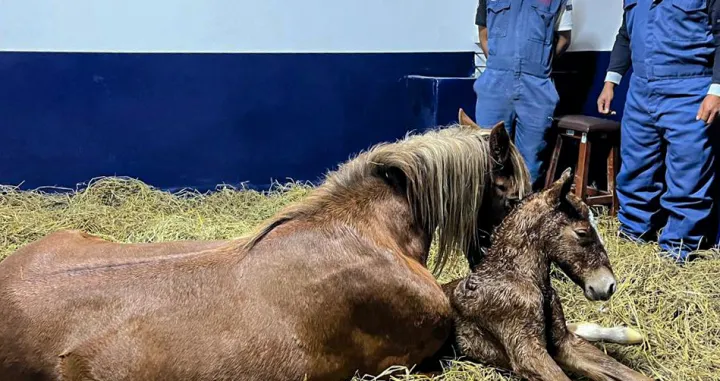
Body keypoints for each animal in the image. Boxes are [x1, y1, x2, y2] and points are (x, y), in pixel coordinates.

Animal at [438, 168, 652, 380]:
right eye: (582, 232)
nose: (608, 285)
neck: (516, 276)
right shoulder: (528, 353)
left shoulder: (563, 342)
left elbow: (622, 370)